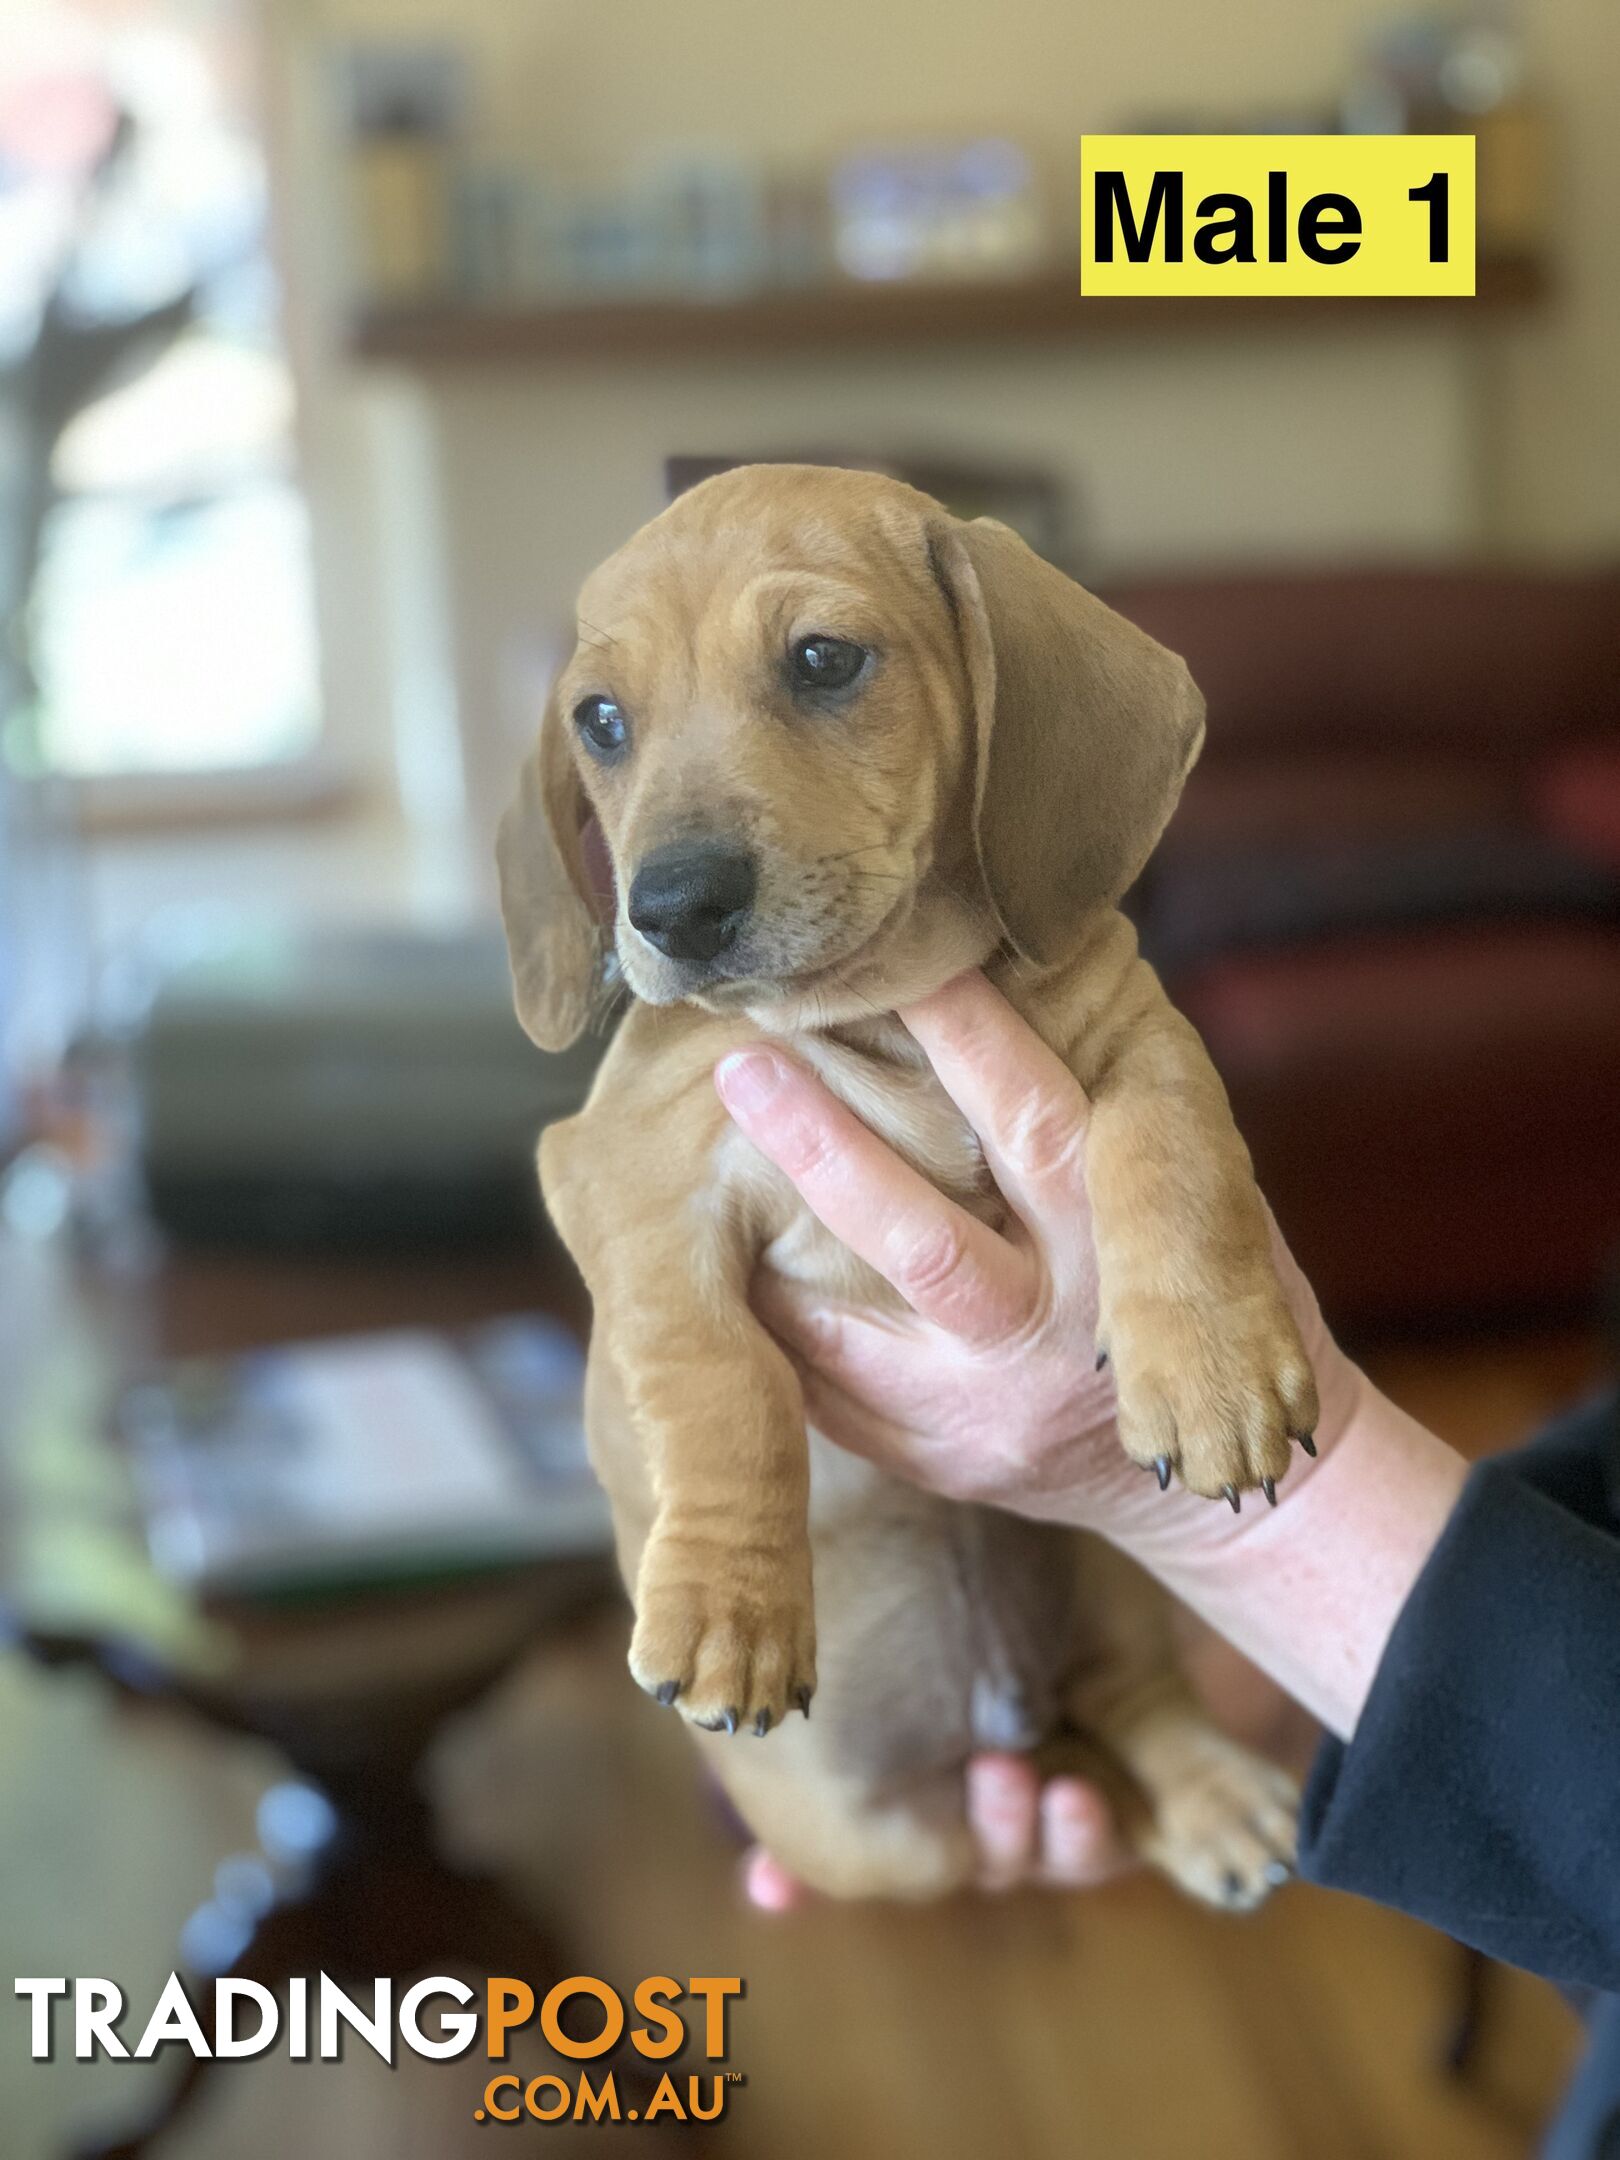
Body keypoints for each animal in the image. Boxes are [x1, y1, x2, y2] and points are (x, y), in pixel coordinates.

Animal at [501, 468, 1321, 1909]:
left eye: (824, 660)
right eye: (599, 721)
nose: (672, 908)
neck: (882, 1009)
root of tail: (1001, 1720)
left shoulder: (1142, 1035)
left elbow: (1170, 1152)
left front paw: (1212, 1369)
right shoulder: (625, 1176)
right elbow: (716, 1370)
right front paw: (730, 1605)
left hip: (1116, 1594)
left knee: (1136, 1712)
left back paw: (1217, 1798)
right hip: (874, 1841)